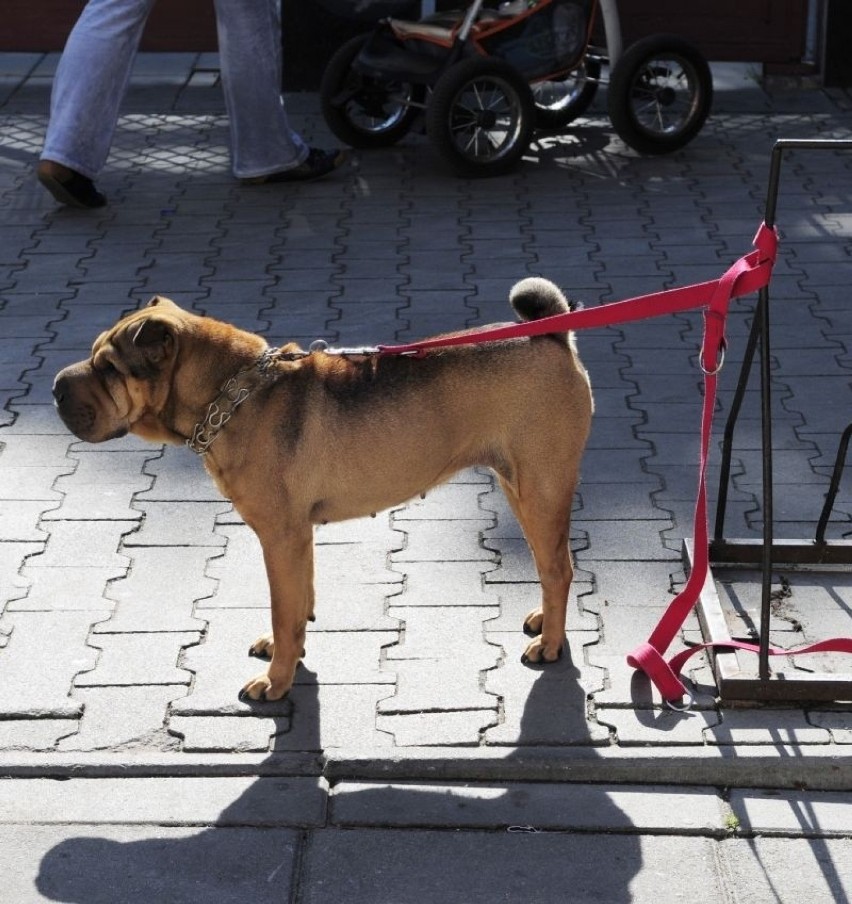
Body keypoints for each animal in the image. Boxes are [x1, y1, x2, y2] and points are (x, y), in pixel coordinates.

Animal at [55, 278, 592, 704]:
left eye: (109, 368)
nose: (57, 386)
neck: (228, 393)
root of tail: (553, 336)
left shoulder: (279, 537)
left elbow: (282, 609)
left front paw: (275, 682)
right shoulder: (298, 536)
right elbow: (298, 603)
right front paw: (287, 653)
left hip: (540, 487)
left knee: (559, 568)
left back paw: (550, 644)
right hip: (517, 485)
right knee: (549, 566)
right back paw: (543, 621)